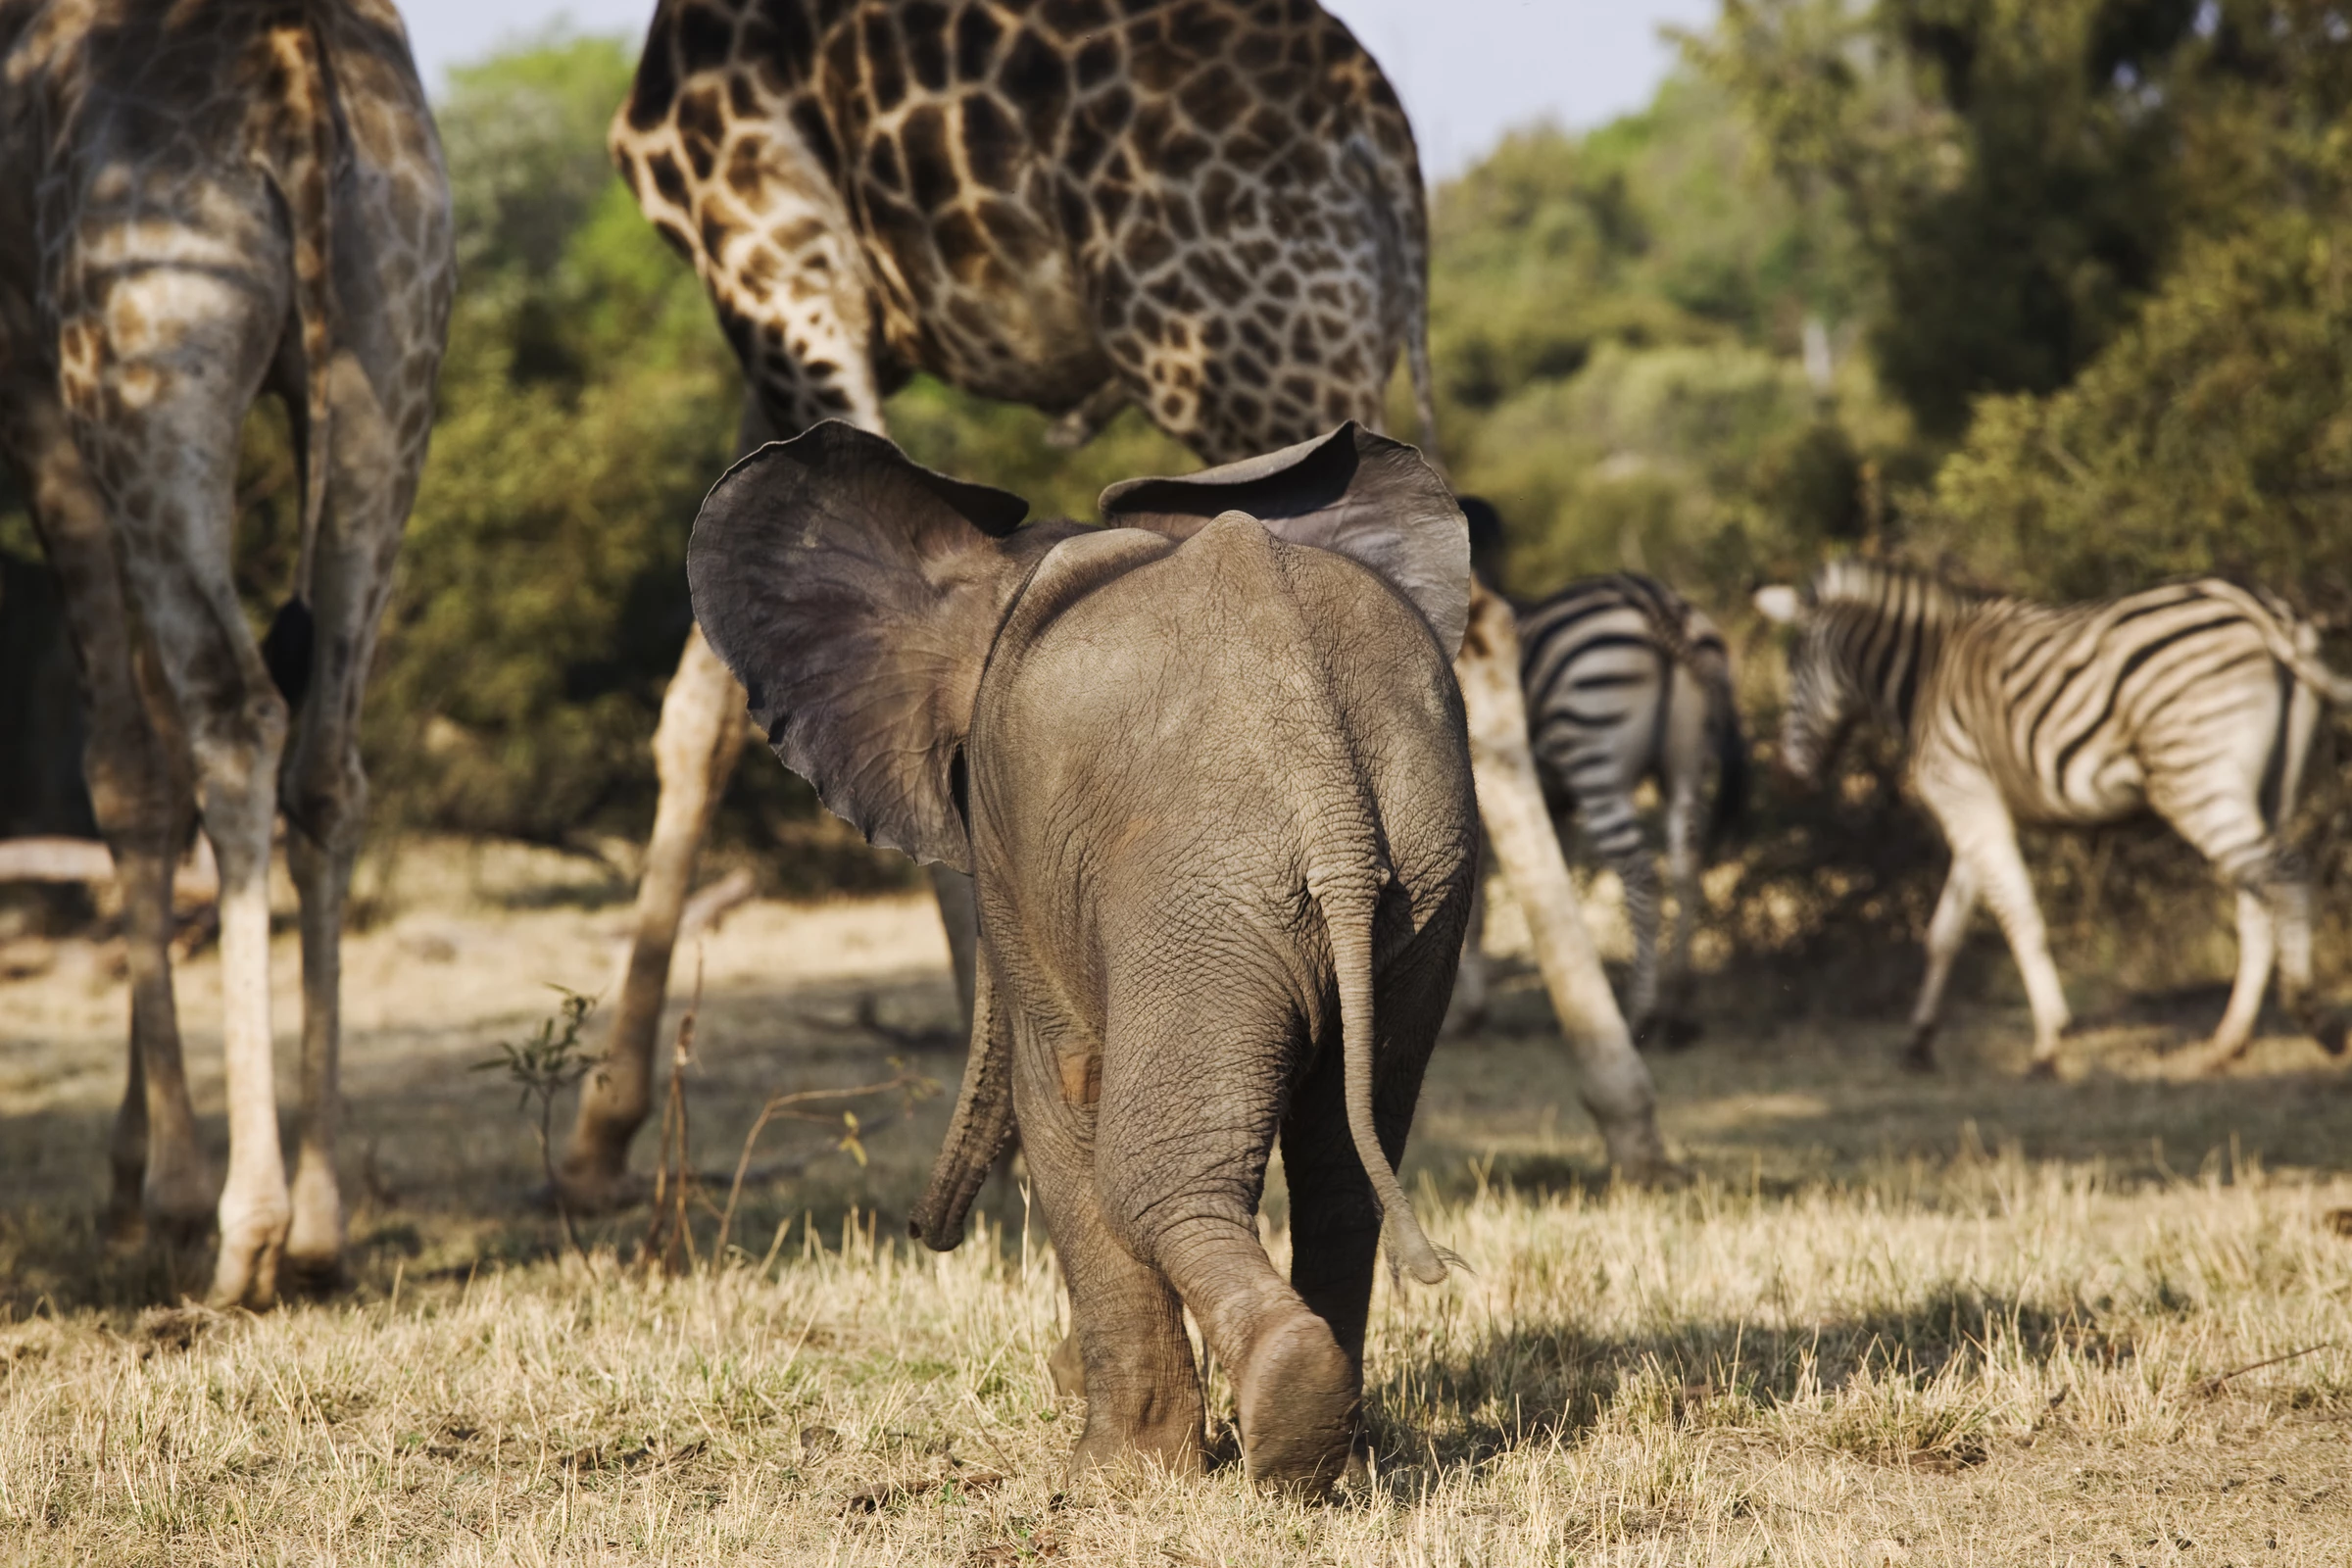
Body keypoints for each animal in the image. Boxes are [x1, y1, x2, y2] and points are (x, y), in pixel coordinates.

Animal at [1513, 573, 1749, 1043]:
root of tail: (1655, 602)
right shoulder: (1552, 804)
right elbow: (1550, 887)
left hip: (1594, 753)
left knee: (1641, 872)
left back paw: (1641, 1013)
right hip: (1686, 767)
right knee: (1687, 865)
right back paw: (1677, 1005)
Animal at [1755, 559, 2352, 1076]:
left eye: (1793, 671)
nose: (1784, 779)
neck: (1925, 674)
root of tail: (2262, 609)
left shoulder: (1963, 799)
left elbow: (2020, 917)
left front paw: (2050, 1042)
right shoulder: (1977, 810)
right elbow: (1945, 930)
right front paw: (1919, 1042)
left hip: (2195, 780)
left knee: (2283, 874)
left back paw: (2312, 1019)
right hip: (2273, 787)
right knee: (2258, 898)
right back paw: (2228, 1043)